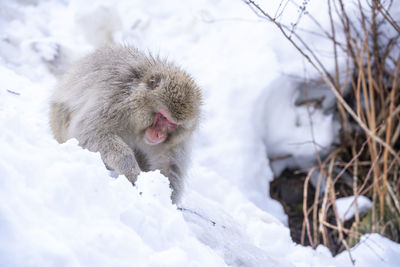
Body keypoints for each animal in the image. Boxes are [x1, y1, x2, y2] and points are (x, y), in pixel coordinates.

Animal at [48, 46, 202, 204]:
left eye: (172, 124)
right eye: (162, 116)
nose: (159, 134)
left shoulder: (176, 143)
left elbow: (170, 167)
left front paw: (166, 199)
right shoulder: (114, 102)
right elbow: (89, 132)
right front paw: (132, 172)